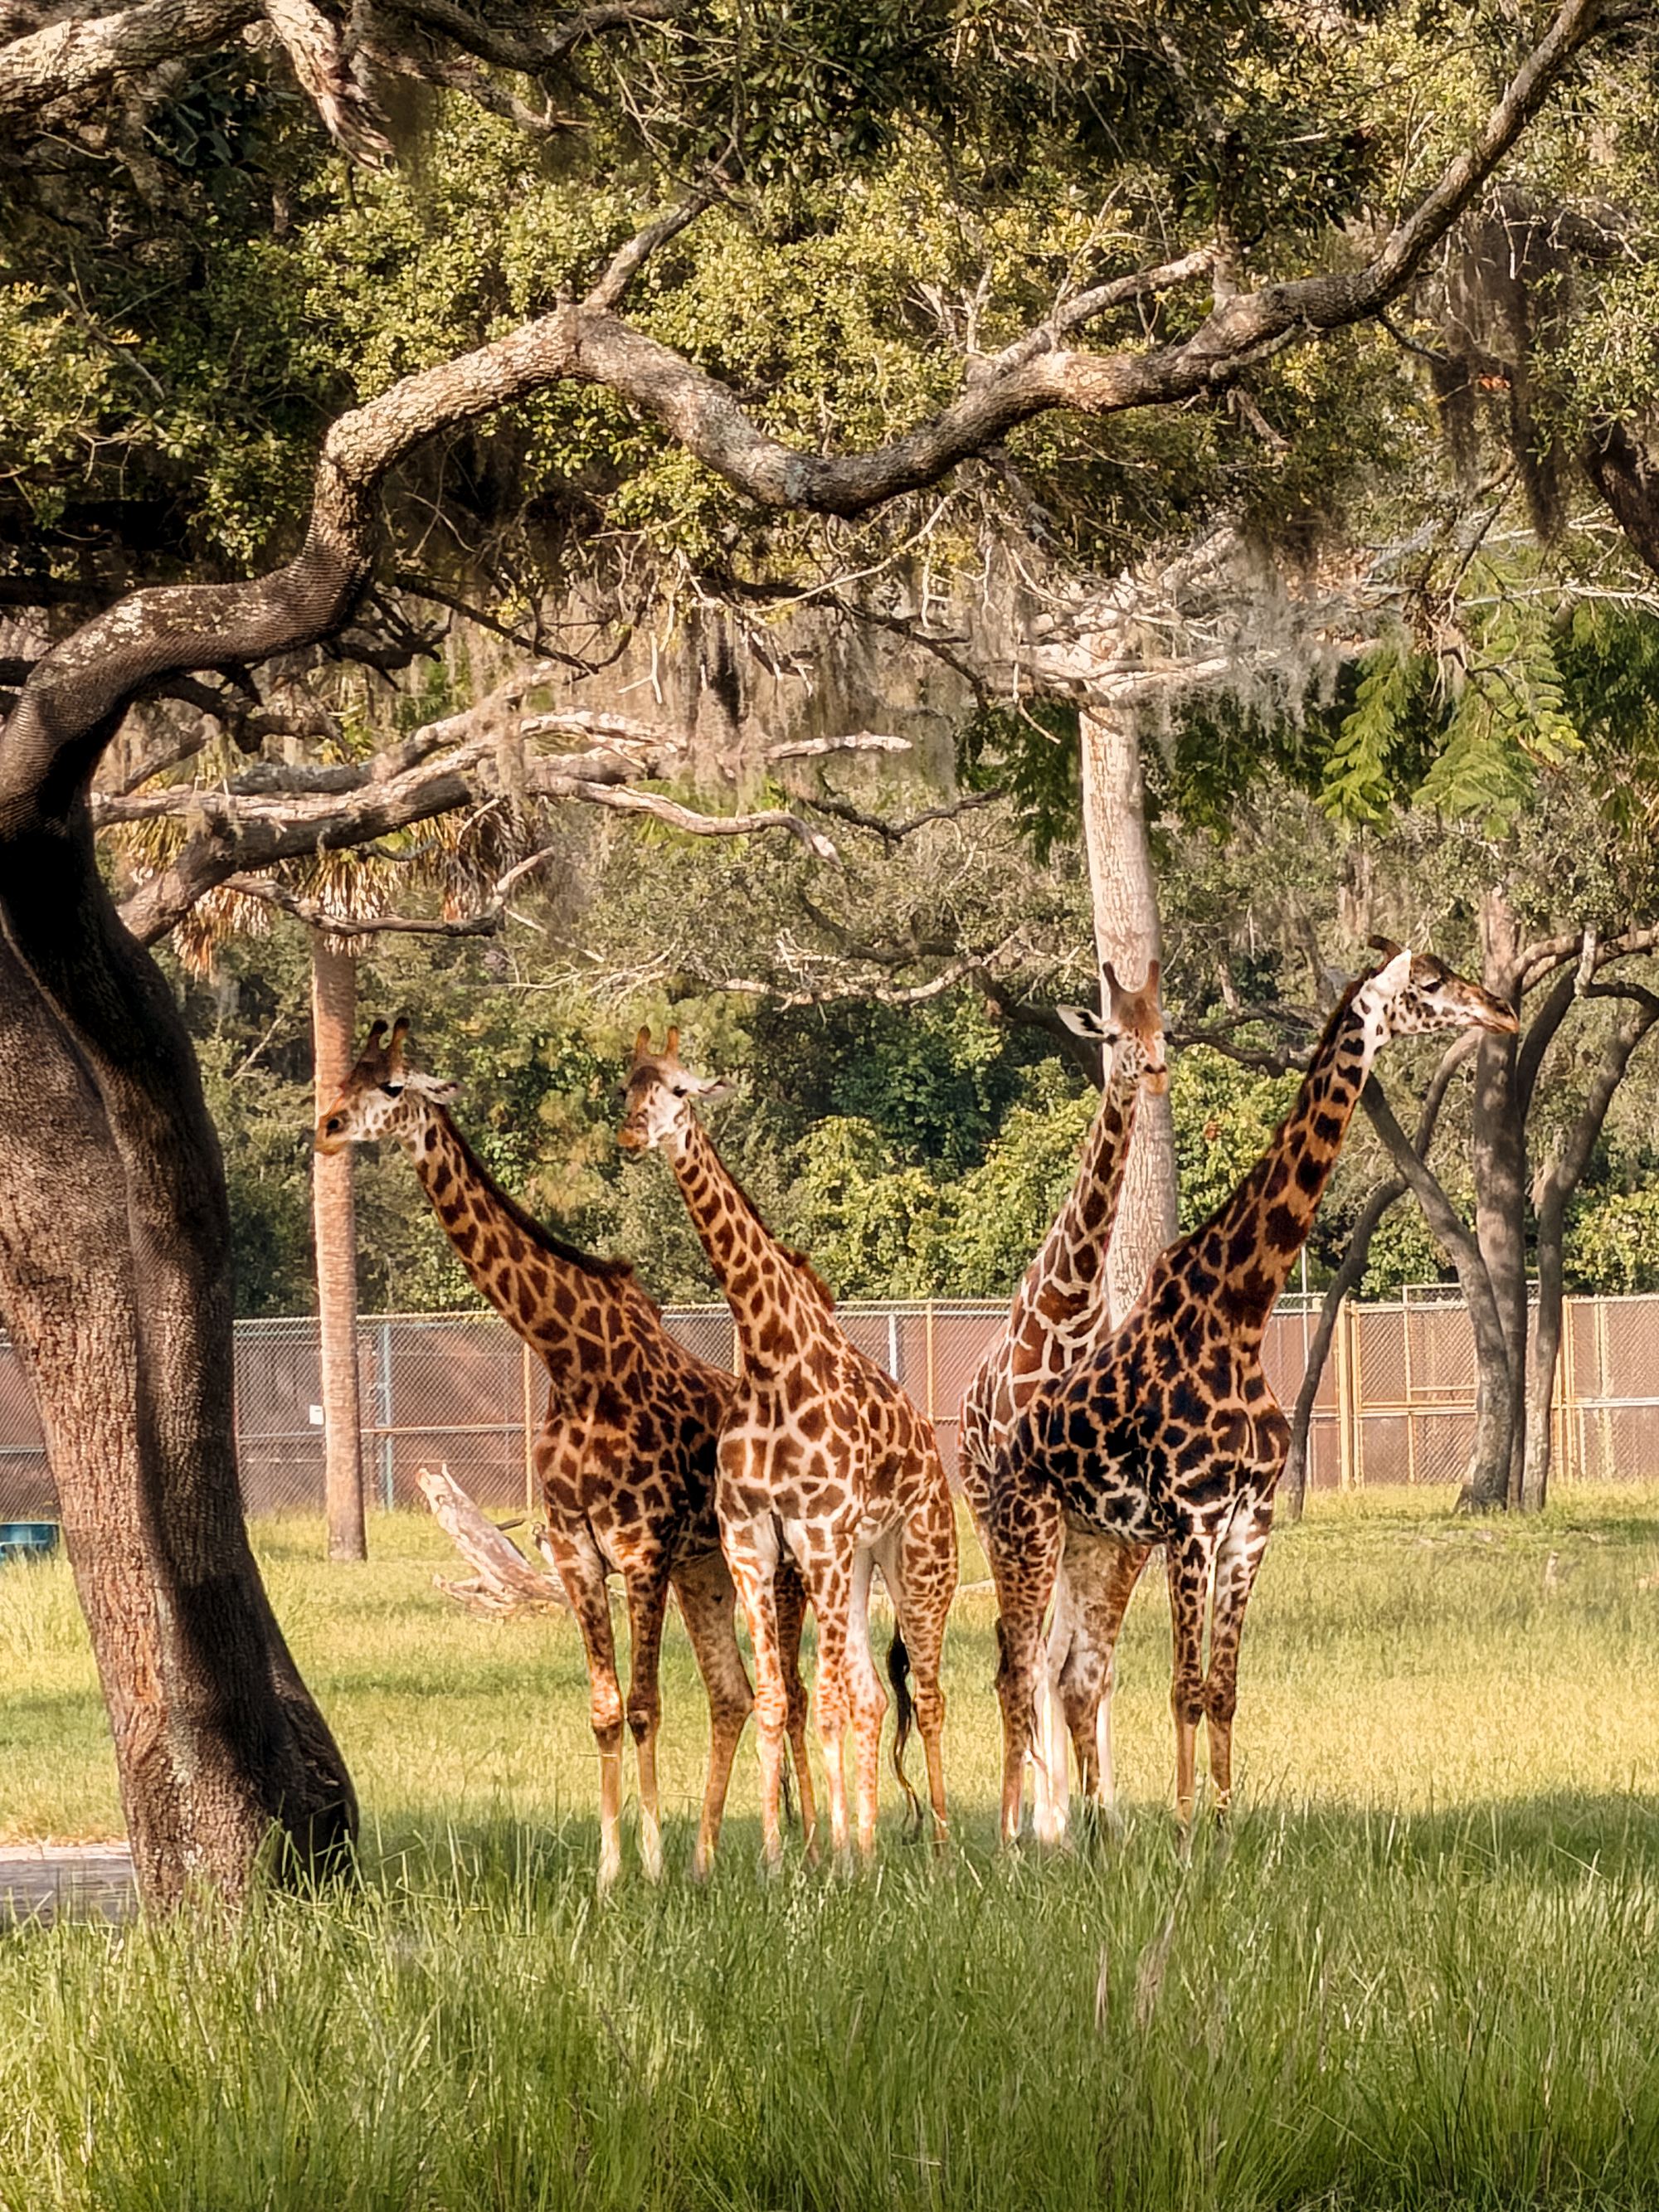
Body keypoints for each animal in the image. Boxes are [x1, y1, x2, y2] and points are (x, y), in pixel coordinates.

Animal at [315, 1018, 816, 1887]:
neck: (574, 1364)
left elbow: (646, 1705)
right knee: (736, 1691)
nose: (328, 1128)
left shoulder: (641, 1549)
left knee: (793, 1688)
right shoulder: (579, 1550)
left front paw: (651, 1863)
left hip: (772, 1566)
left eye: (392, 1086)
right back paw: (712, 1857)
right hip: (708, 1570)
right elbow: (606, 1709)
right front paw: (615, 1869)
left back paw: (803, 1850)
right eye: (347, 1076)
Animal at [619, 1028, 959, 1866]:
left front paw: (827, 1855)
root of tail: (935, 1463)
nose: (635, 1134)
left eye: (680, 1090)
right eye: (625, 1089)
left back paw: (938, 1845)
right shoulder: (752, 1539)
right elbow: (777, 1695)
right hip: (861, 1564)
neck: (773, 1358)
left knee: (926, 1691)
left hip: (918, 1558)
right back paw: (869, 1843)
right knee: (873, 1692)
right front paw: (781, 1856)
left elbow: (825, 1697)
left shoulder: (820, 1533)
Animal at [986, 944, 1517, 1840]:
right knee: (1013, 1668)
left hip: (1094, 1541)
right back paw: (1017, 1836)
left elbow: (1224, 1690)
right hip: (1020, 1530)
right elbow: (1183, 1689)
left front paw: (1226, 1829)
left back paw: (1082, 1831)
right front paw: (1182, 1833)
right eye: (1428, 983)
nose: (1503, 1012)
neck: (1240, 1309)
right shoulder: (1191, 1520)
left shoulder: (1249, 1523)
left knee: (1069, 1671)